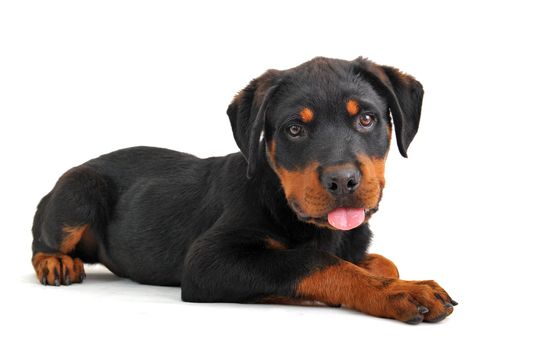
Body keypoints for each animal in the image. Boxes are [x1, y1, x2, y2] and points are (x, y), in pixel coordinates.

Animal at [29, 56, 454, 322]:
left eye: (366, 119)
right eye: (294, 129)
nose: (343, 181)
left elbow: (381, 262)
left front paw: (393, 280)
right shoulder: (207, 261)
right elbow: (311, 261)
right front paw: (402, 293)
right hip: (80, 189)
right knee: (40, 241)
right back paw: (56, 262)